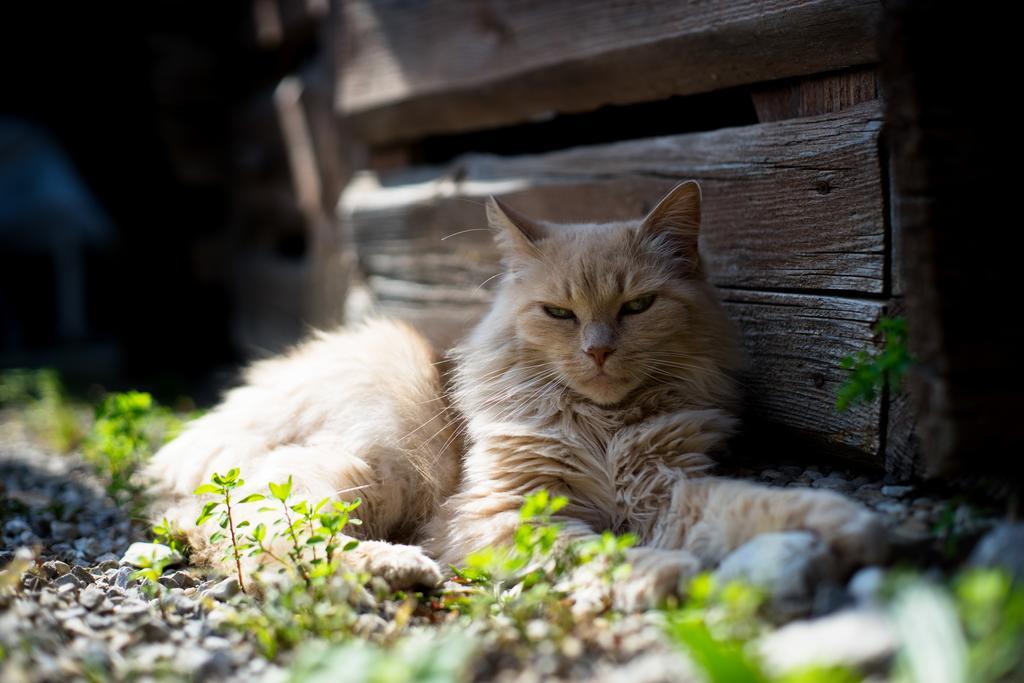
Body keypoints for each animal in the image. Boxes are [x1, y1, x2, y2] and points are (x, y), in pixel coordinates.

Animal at [146, 180, 888, 602]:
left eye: (638, 306)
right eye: (559, 313)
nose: (598, 349)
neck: (603, 426)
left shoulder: (669, 488)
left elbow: (756, 506)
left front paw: (847, 529)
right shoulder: (509, 509)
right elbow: (596, 551)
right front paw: (656, 575)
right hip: (375, 462)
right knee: (263, 545)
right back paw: (400, 567)